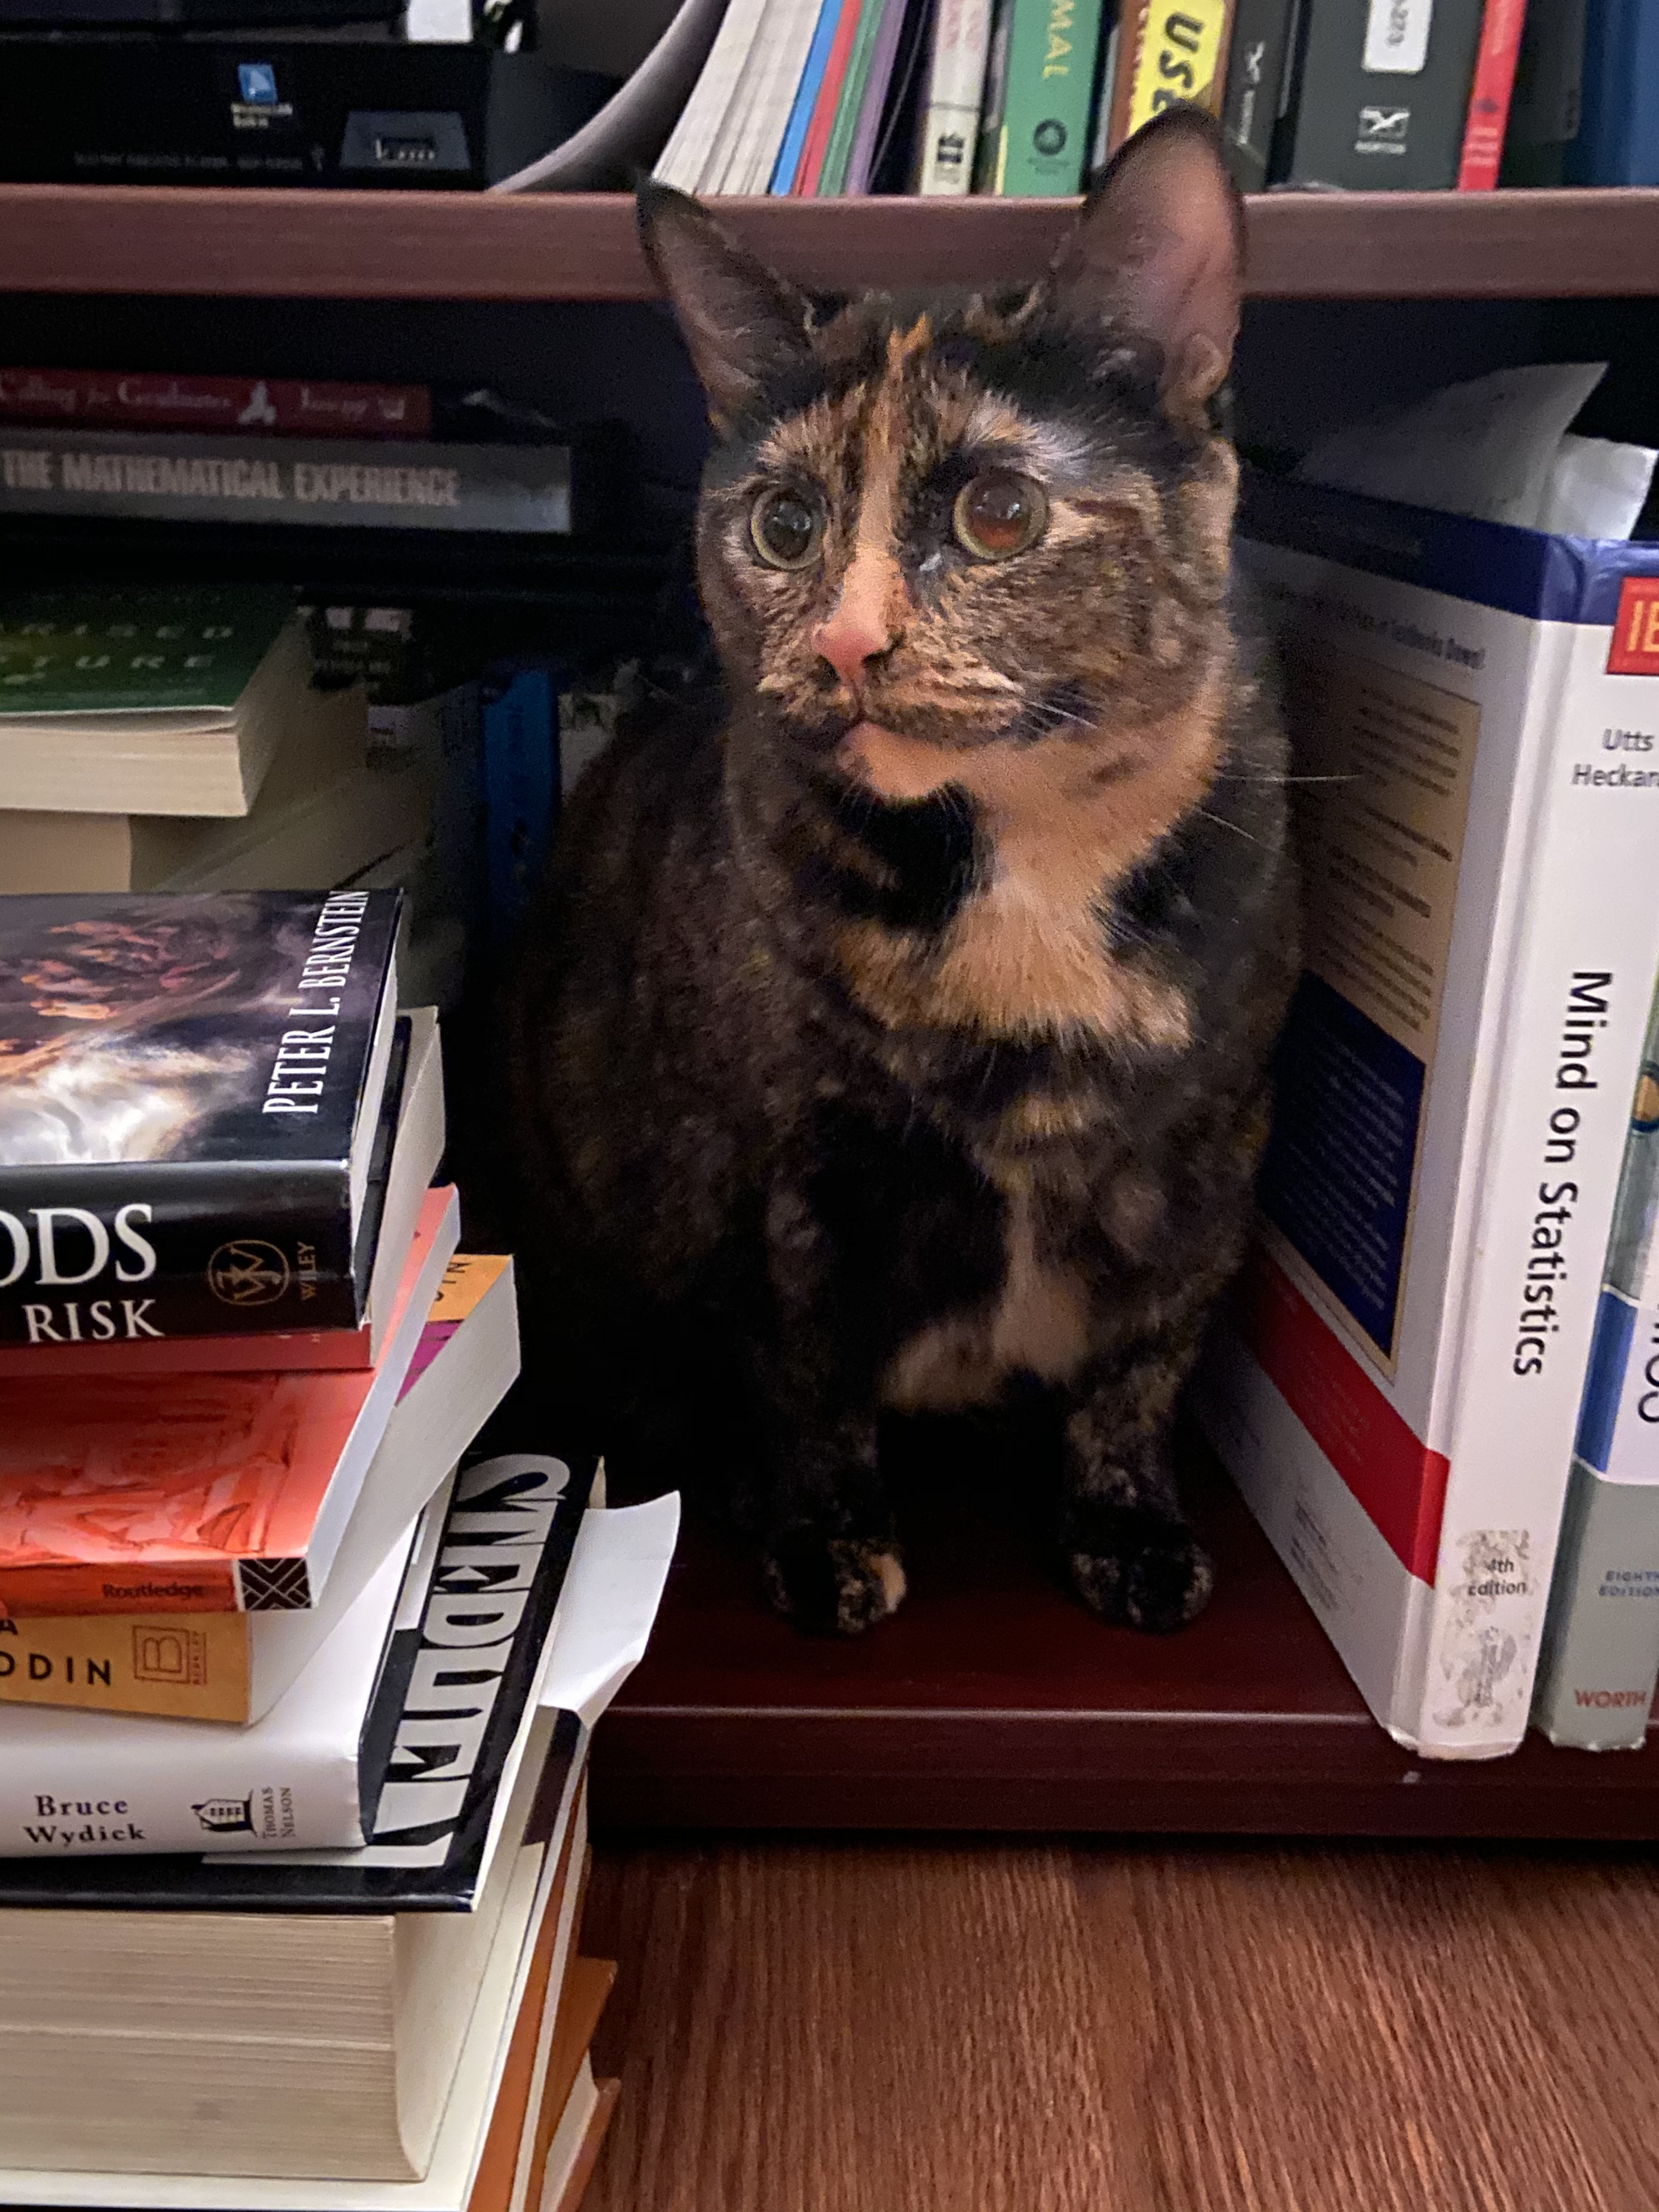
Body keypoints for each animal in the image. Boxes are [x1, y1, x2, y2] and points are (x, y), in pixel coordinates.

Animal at [506, 112, 1300, 1637]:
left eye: (998, 513)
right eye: (784, 525)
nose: (845, 643)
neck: (1024, 856)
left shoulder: (1211, 1152)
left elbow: (1144, 1362)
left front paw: (1127, 1523)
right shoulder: (780, 1176)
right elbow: (807, 1377)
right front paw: (825, 1540)